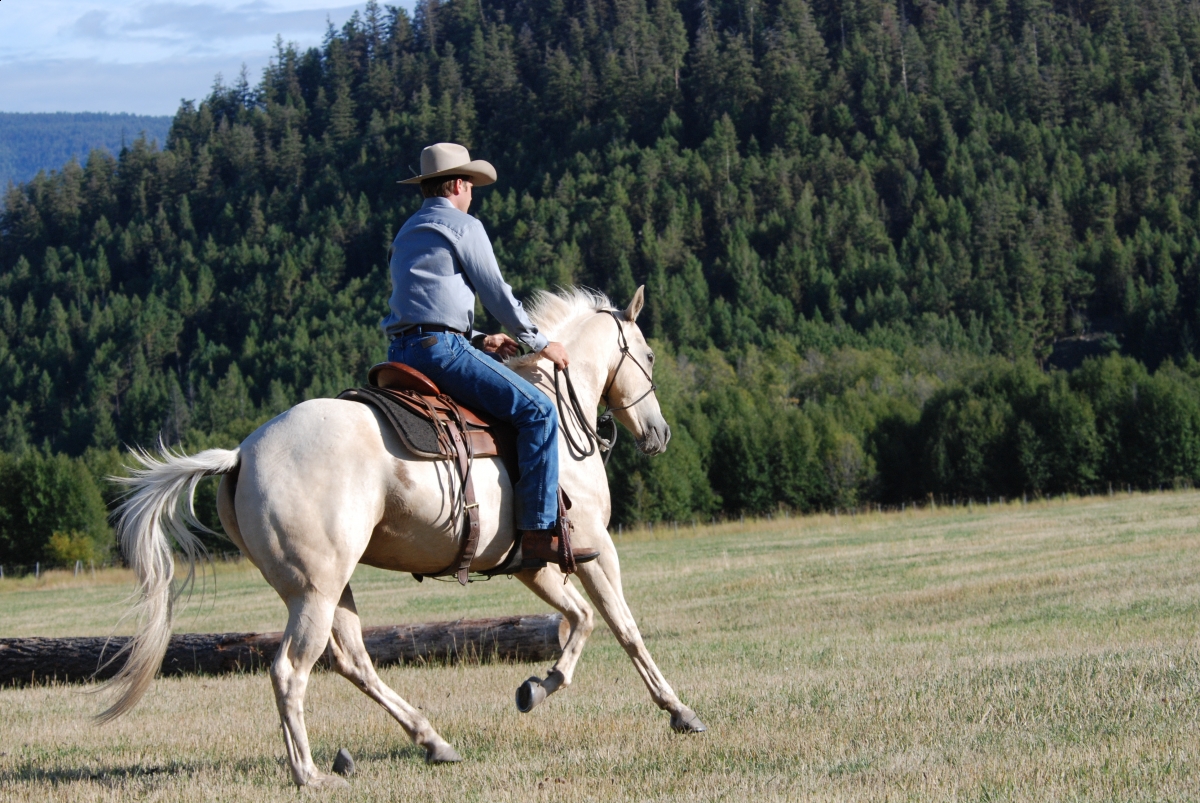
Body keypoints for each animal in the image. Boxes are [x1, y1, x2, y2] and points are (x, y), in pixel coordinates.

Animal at [102, 286, 706, 789]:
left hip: (327, 589)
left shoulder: (532, 562)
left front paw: (537, 686)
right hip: (315, 591)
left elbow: (578, 621)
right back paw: (310, 774)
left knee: (353, 662)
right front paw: (679, 710)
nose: (659, 433)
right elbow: (624, 627)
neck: (557, 413)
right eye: (649, 355)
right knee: (291, 671)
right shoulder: (595, 548)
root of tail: (242, 454)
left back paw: (432, 740)